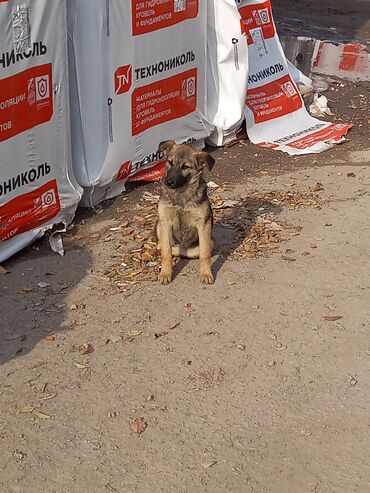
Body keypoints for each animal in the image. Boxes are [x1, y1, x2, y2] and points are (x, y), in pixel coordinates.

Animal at [155, 139, 215, 284]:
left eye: (185, 167)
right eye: (170, 162)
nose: (168, 182)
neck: (180, 194)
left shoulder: (203, 224)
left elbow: (205, 254)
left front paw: (206, 274)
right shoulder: (165, 221)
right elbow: (166, 252)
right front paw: (165, 274)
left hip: (208, 242)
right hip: (159, 223)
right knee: (166, 246)